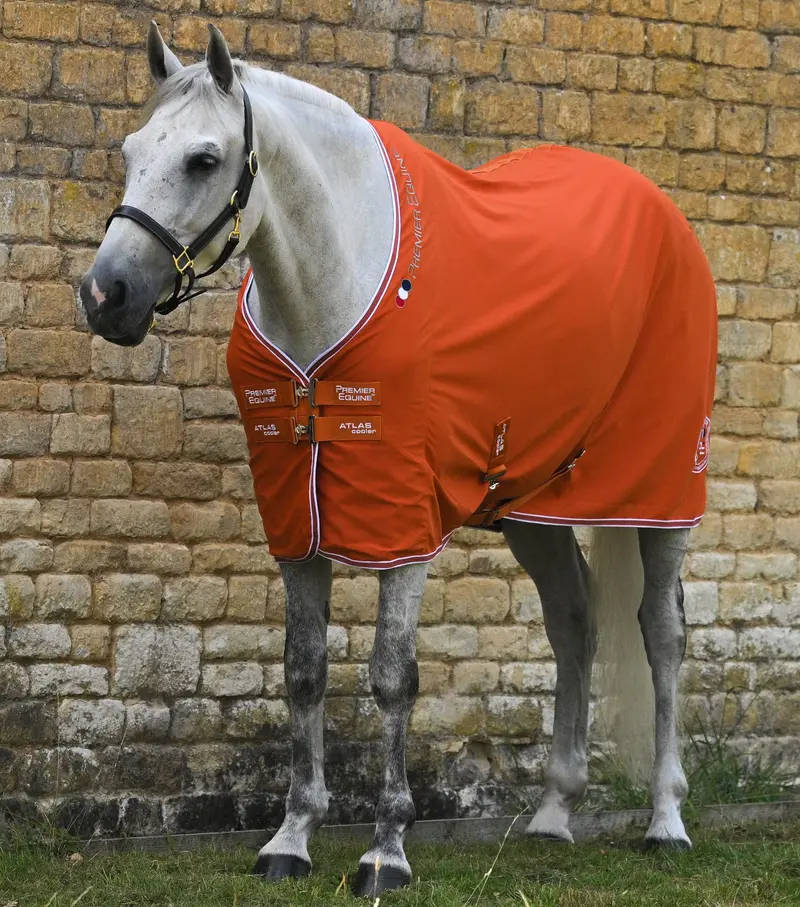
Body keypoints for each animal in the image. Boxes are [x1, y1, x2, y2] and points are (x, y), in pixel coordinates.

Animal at [79, 22, 717, 897]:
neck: (336, 288)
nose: (104, 294)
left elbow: (392, 675)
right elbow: (304, 668)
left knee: (662, 633)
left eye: (205, 159)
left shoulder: (404, 524)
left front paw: (386, 849)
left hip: (664, 496)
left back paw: (667, 820)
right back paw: (554, 813)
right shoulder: (297, 519)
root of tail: (667, 219)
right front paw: (292, 836)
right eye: (132, 149)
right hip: (532, 509)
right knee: (573, 620)